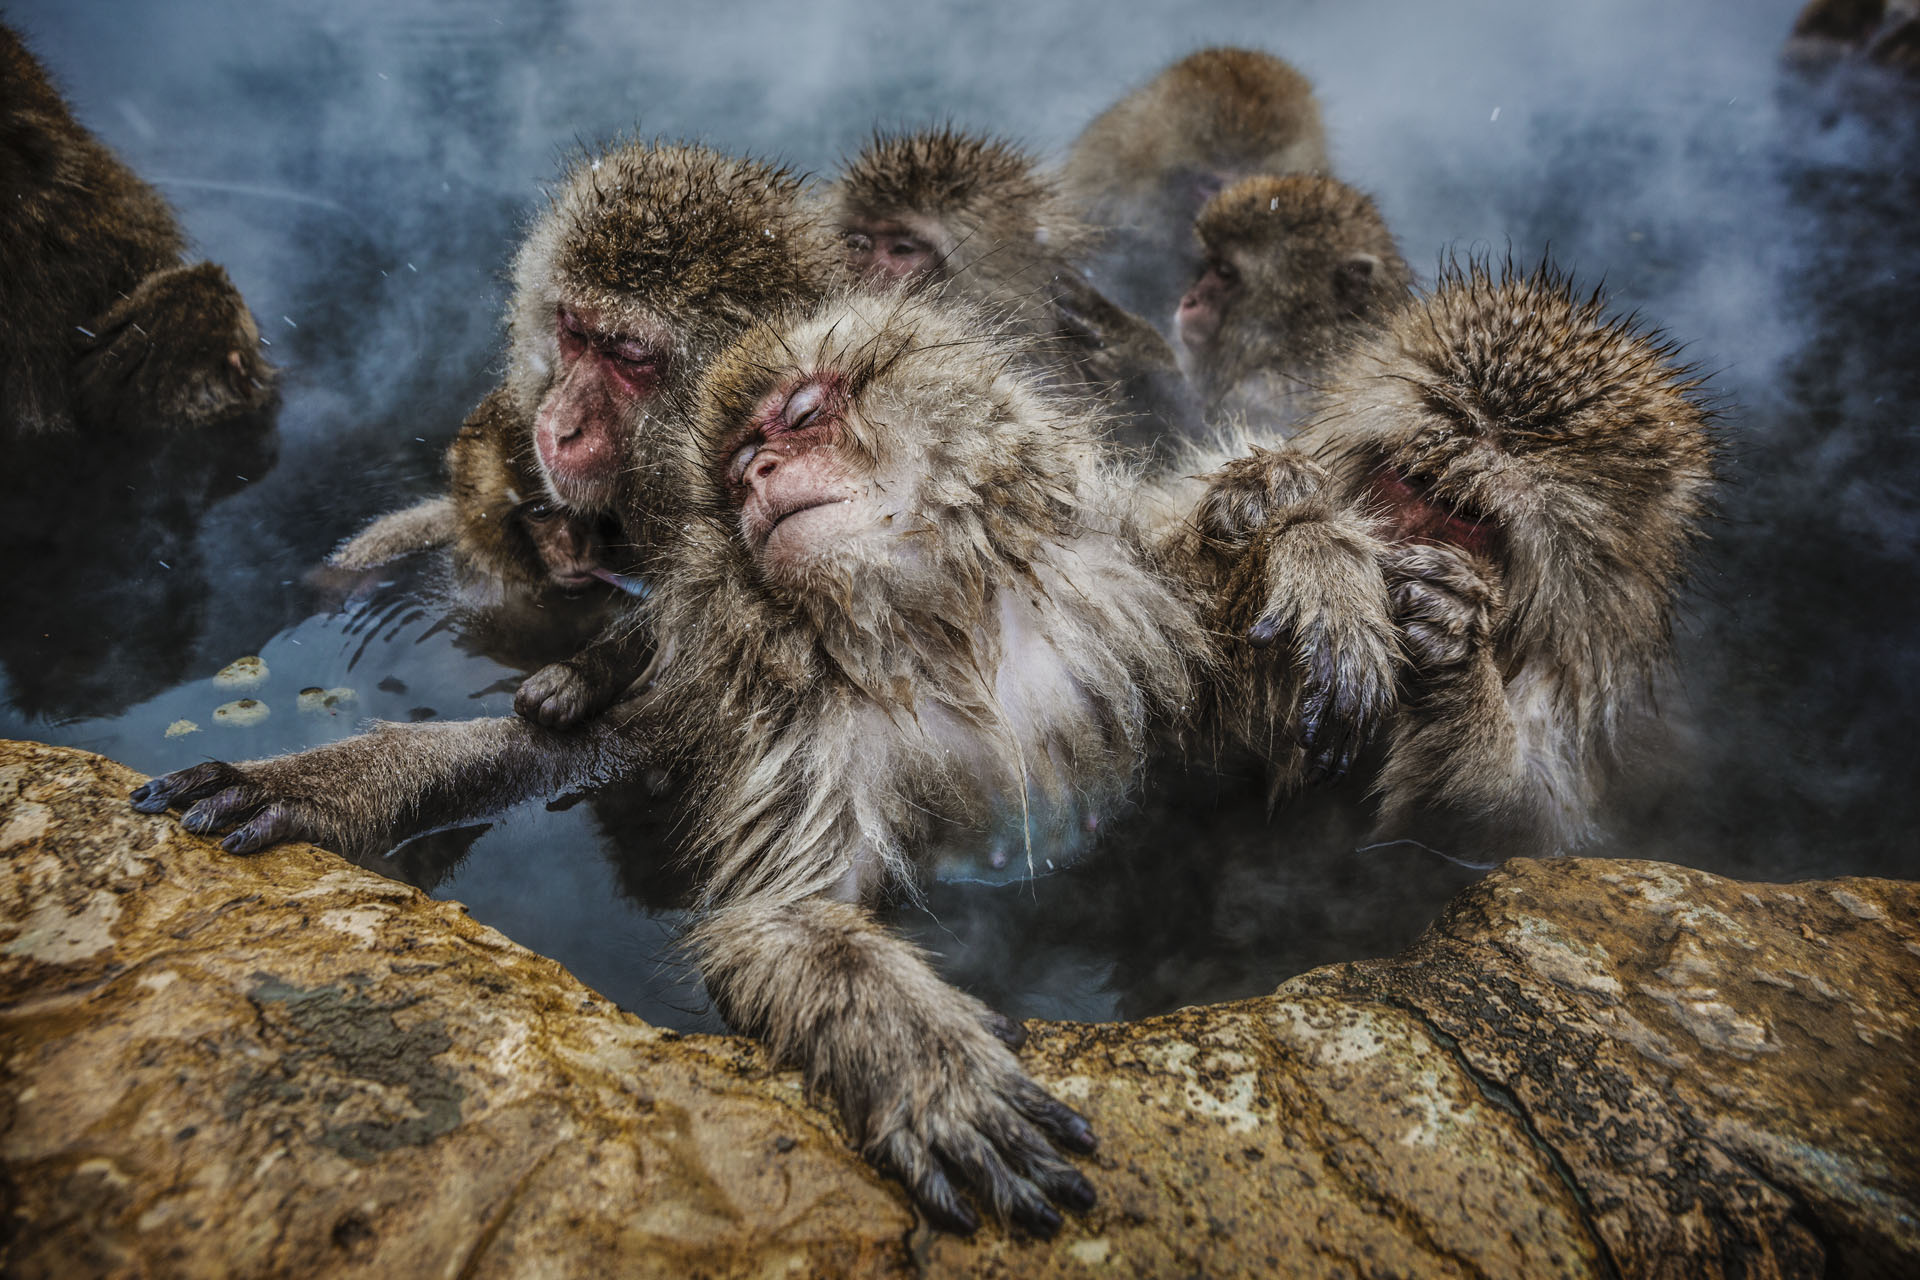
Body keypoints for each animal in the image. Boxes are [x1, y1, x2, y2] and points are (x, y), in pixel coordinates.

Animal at [135, 293, 1221, 1243]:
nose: (764, 468)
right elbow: (778, 915)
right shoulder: (798, 726)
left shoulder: (1135, 613)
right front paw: (924, 1067)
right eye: (738, 468)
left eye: (802, 415)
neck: (936, 635)